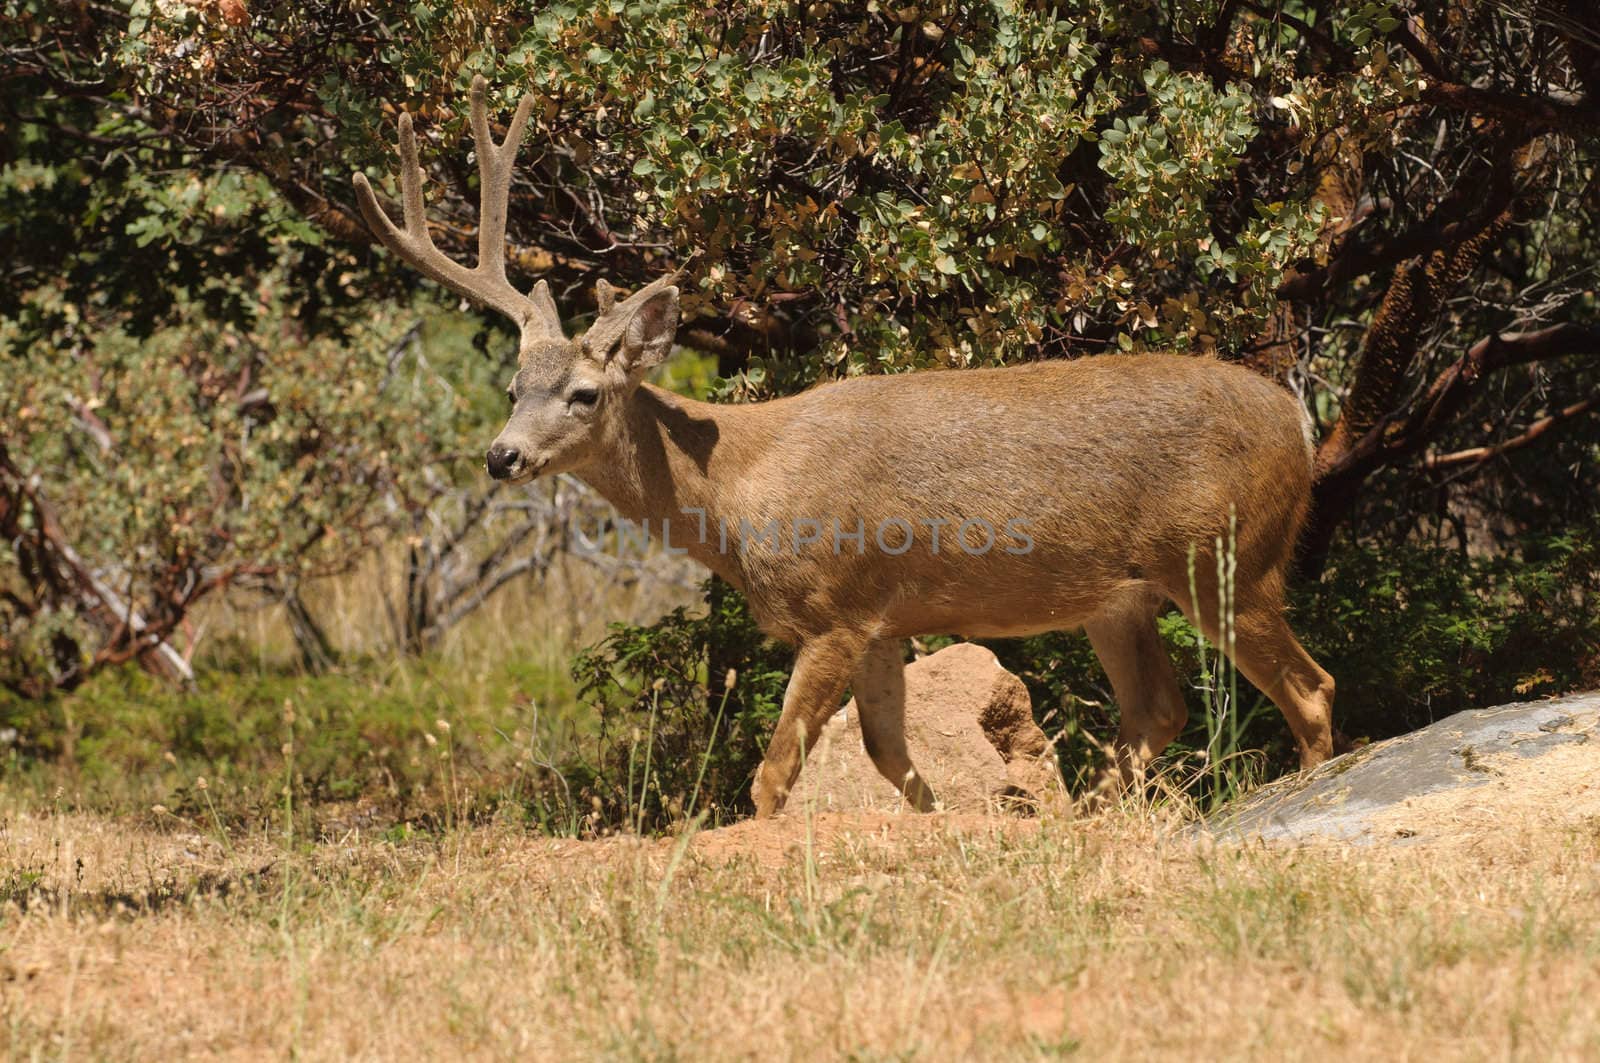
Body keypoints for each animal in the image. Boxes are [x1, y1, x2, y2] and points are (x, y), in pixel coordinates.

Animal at [353, 78, 1337, 816]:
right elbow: (892, 760)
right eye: (514, 388)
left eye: (584, 394)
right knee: (1159, 709)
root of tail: (1300, 424)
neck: (736, 489)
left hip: (1227, 554)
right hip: (1118, 595)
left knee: (1309, 687)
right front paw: (940, 825)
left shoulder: (831, 608)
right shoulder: (881, 621)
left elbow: (773, 775)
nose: (502, 456)